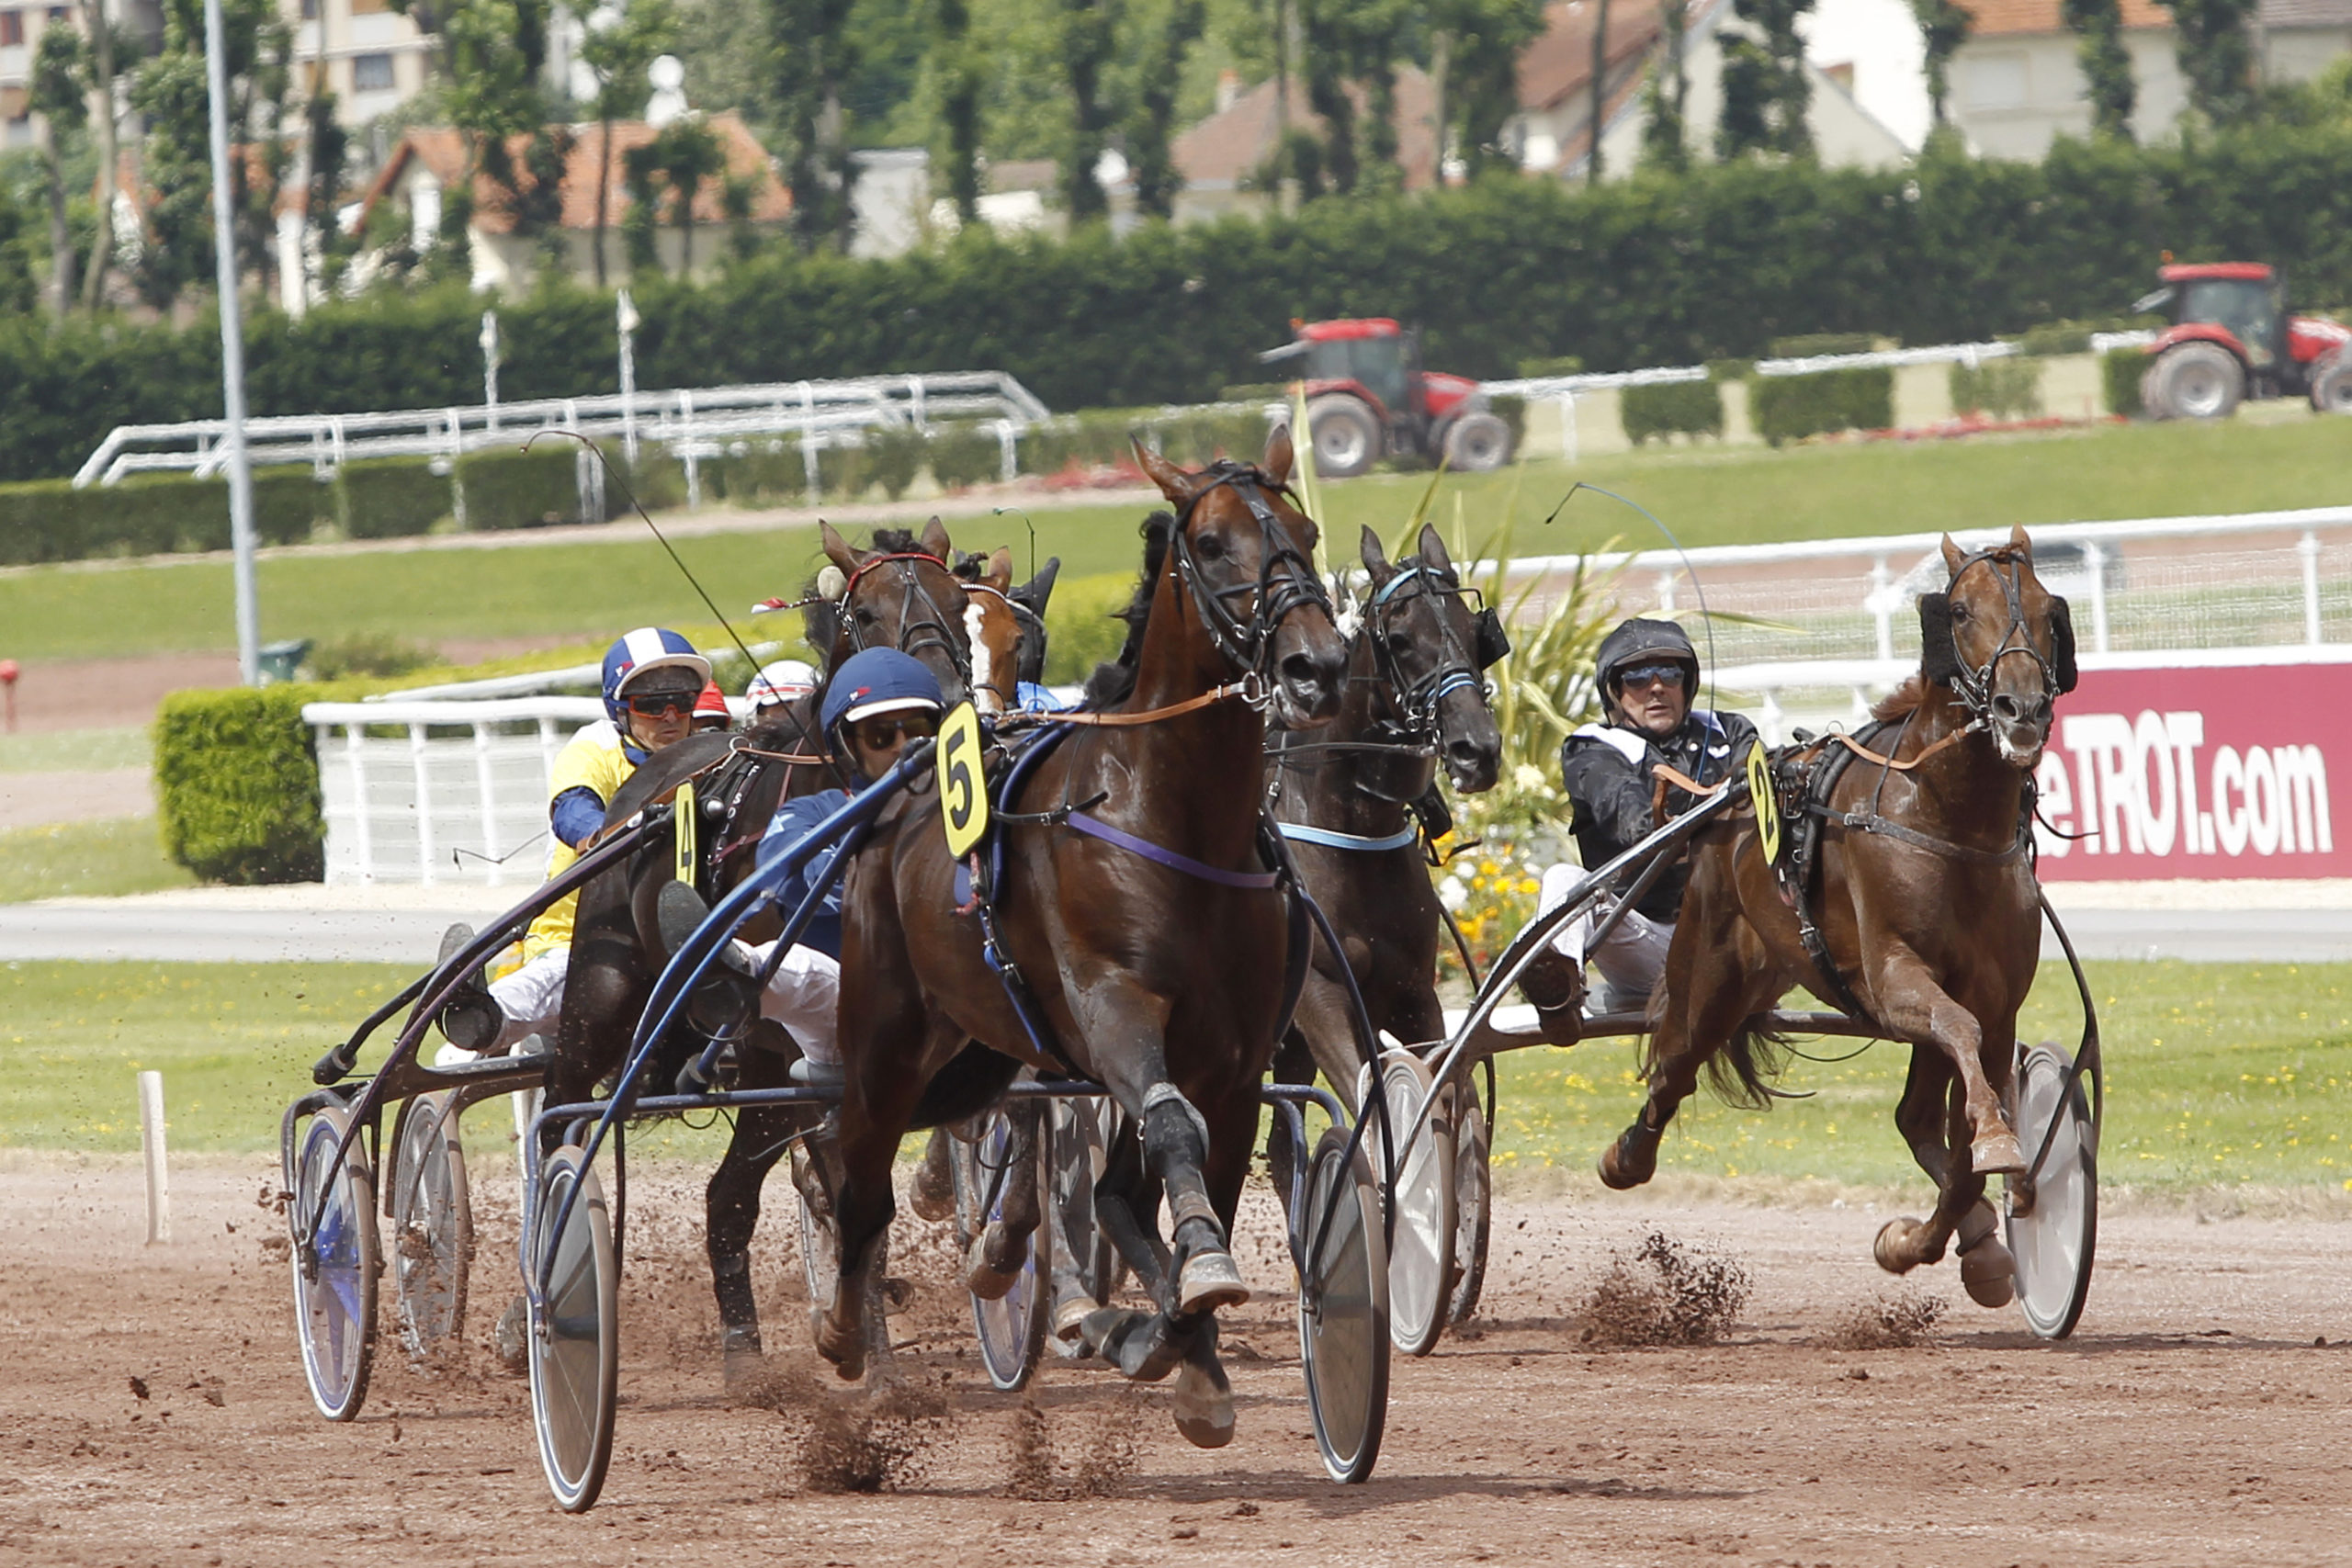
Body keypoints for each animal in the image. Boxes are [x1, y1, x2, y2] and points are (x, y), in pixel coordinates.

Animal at [828, 432, 1354, 1448]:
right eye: (1213, 543)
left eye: (1307, 532)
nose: (1317, 666)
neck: (1176, 820)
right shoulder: (1114, 1007)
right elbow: (1170, 1128)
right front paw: (1182, 1298)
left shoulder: (1233, 1058)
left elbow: (1188, 1171)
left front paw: (1179, 1346)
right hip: (883, 1043)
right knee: (857, 1180)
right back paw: (842, 1337)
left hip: (982, 1050)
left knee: (1104, 1188)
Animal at [1599, 531, 2079, 1316]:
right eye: (1959, 610)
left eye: (2047, 609)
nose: (2021, 707)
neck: (1946, 819)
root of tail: (1722, 810)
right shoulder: (1894, 978)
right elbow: (1960, 1047)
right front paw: (1995, 1149)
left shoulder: (1997, 999)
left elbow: (1966, 1142)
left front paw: (1926, 1236)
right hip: (1709, 973)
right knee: (1671, 1068)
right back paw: (1624, 1156)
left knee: (1915, 1116)